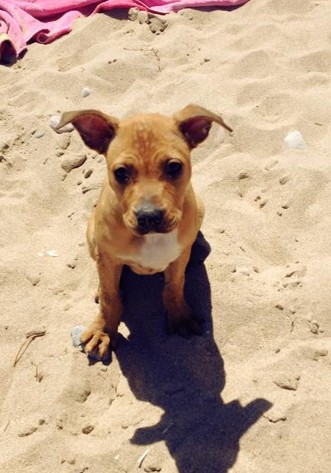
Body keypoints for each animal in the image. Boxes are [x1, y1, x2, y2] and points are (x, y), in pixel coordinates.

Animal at [55, 105, 232, 360]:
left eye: (174, 167)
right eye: (120, 173)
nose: (149, 216)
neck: (151, 238)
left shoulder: (178, 258)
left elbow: (174, 285)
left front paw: (179, 315)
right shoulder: (107, 257)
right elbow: (109, 298)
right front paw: (104, 330)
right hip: (91, 234)